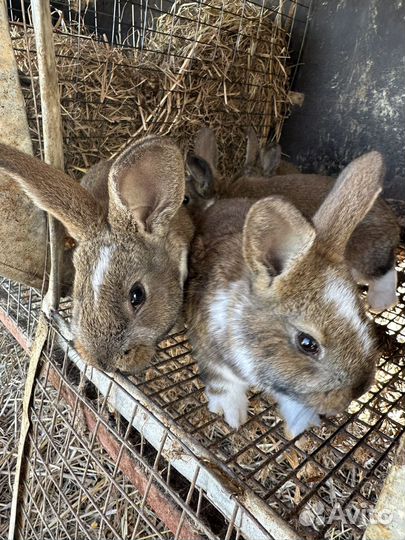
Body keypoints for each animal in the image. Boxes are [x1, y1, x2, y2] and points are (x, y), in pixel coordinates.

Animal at [185, 150, 384, 436]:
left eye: (362, 315)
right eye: (307, 343)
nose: (357, 392)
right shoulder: (209, 353)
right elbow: (223, 385)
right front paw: (234, 416)